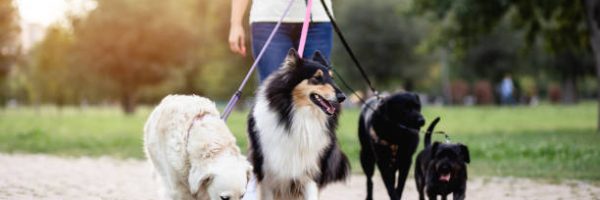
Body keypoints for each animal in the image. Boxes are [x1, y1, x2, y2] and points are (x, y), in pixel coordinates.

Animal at [247, 48, 352, 200]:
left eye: (332, 78)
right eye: (317, 78)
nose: (342, 97)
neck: (301, 116)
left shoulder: (310, 171)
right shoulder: (268, 174)